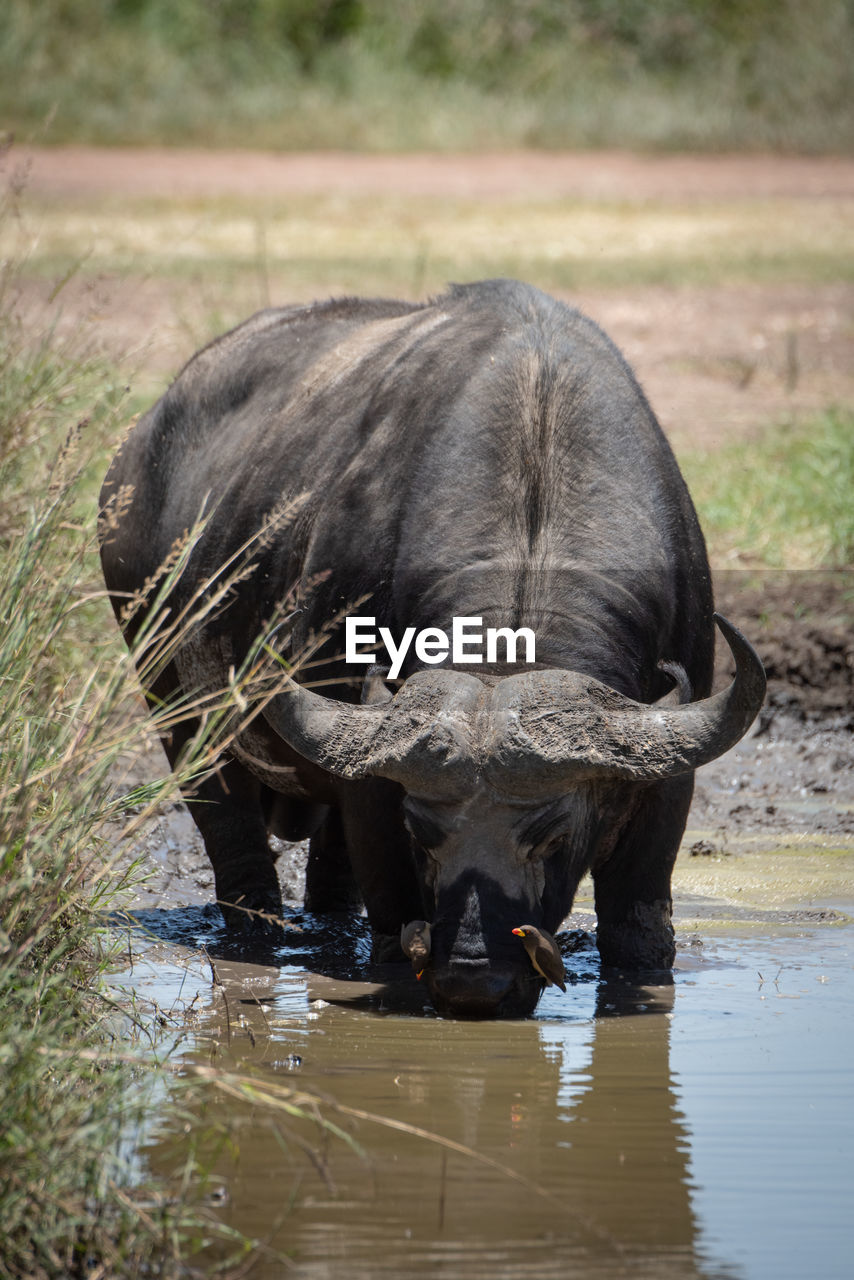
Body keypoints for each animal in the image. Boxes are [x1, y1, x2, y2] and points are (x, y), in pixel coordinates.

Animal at [101, 280, 768, 1018]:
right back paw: (256, 934)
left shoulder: (667, 780)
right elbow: (392, 916)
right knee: (232, 833)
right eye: (421, 833)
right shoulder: (370, 787)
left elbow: (640, 932)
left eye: (553, 835)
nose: (476, 978)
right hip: (176, 706)